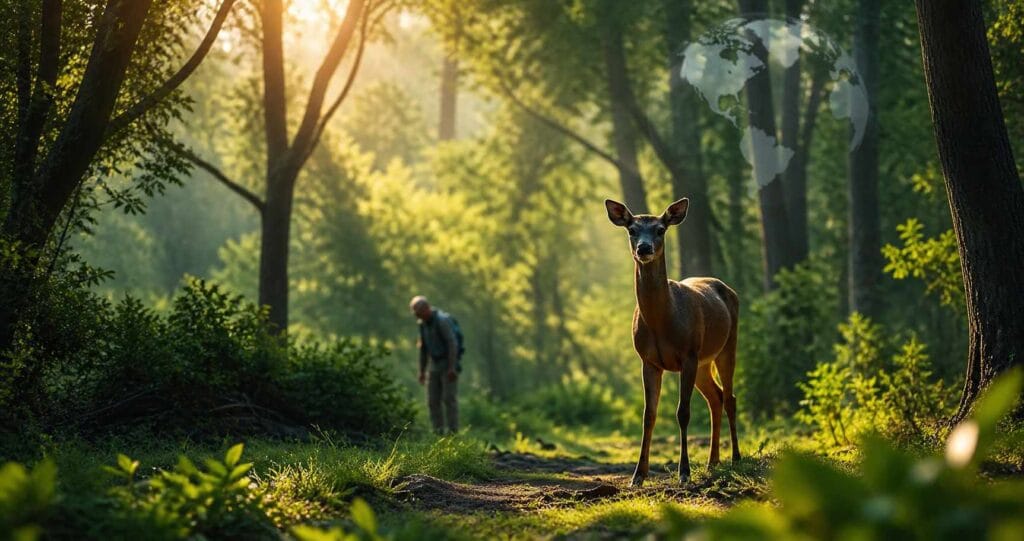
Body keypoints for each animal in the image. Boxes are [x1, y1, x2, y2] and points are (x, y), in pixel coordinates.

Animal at [605, 197, 741, 486]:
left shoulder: (687, 354)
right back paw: (713, 462)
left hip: (727, 346)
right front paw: (638, 476)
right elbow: (649, 415)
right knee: (716, 398)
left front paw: (684, 472)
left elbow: (683, 412)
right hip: (703, 362)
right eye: (632, 229)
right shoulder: (648, 361)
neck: (662, 322)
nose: (644, 248)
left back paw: (735, 458)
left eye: (660, 229)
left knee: (730, 397)